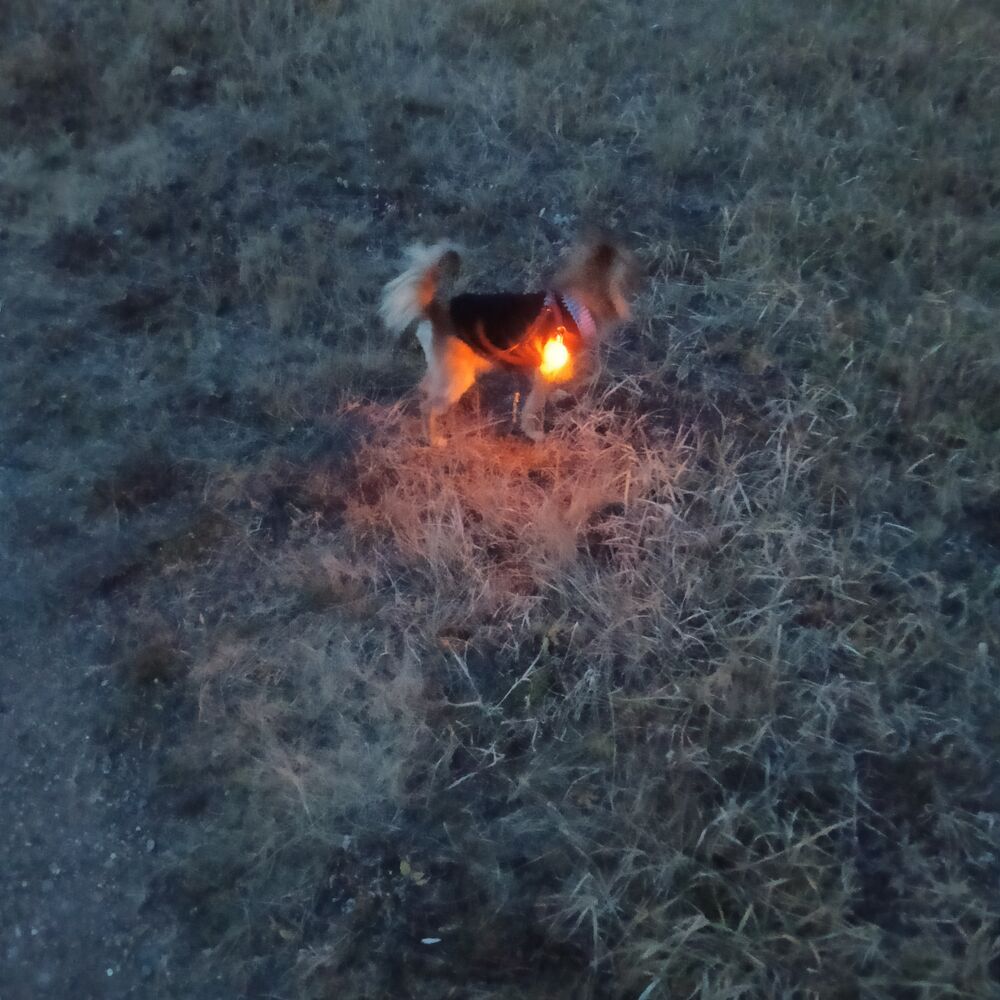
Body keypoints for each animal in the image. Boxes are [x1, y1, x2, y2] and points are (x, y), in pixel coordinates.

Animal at [379, 236, 636, 446]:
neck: (575, 305)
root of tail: (436, 310)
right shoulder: (546, 367)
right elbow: (534, 407)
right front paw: (535, 433)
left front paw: (556, 395)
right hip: (457, 379)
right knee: (429, 406)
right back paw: (434, 439)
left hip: (443, 370)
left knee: (425, 387)